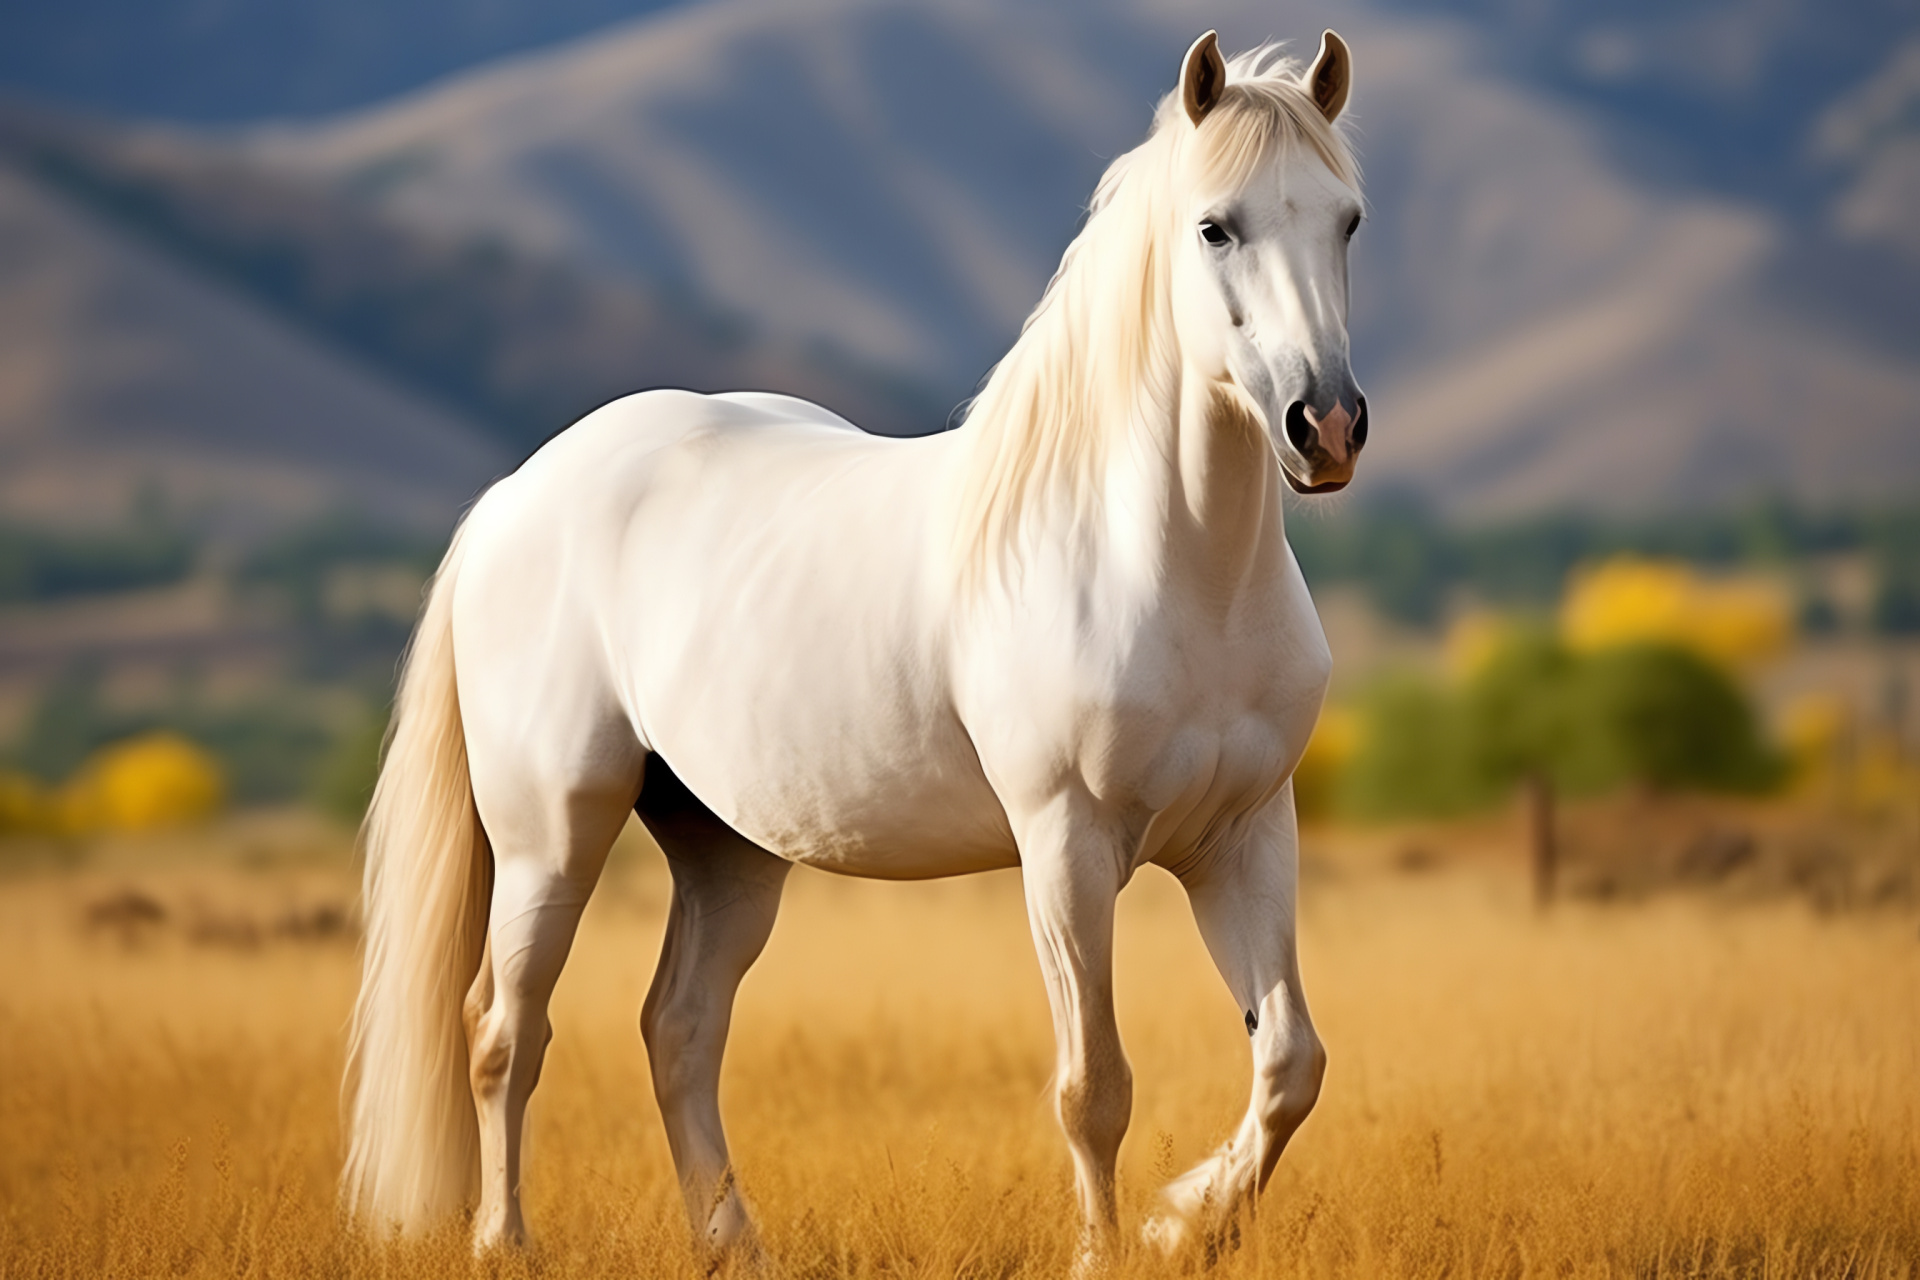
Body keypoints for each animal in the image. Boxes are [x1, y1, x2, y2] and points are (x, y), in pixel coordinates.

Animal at [341, 27, 1367, 1258]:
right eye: (1216, 225)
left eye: (1348, 220)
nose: (1327, 427)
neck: (1160, 563)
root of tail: (511, 495)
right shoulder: (1067, 849)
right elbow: (1094, 1088)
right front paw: (1110, 1251)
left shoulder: (1245, 837)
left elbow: (1291, 1064)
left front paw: (1188, 1225)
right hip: (551, 832)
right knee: (505, 1028)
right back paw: (505, 1243)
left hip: (727, 849)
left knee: (679, 1027)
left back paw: (734, 1246)